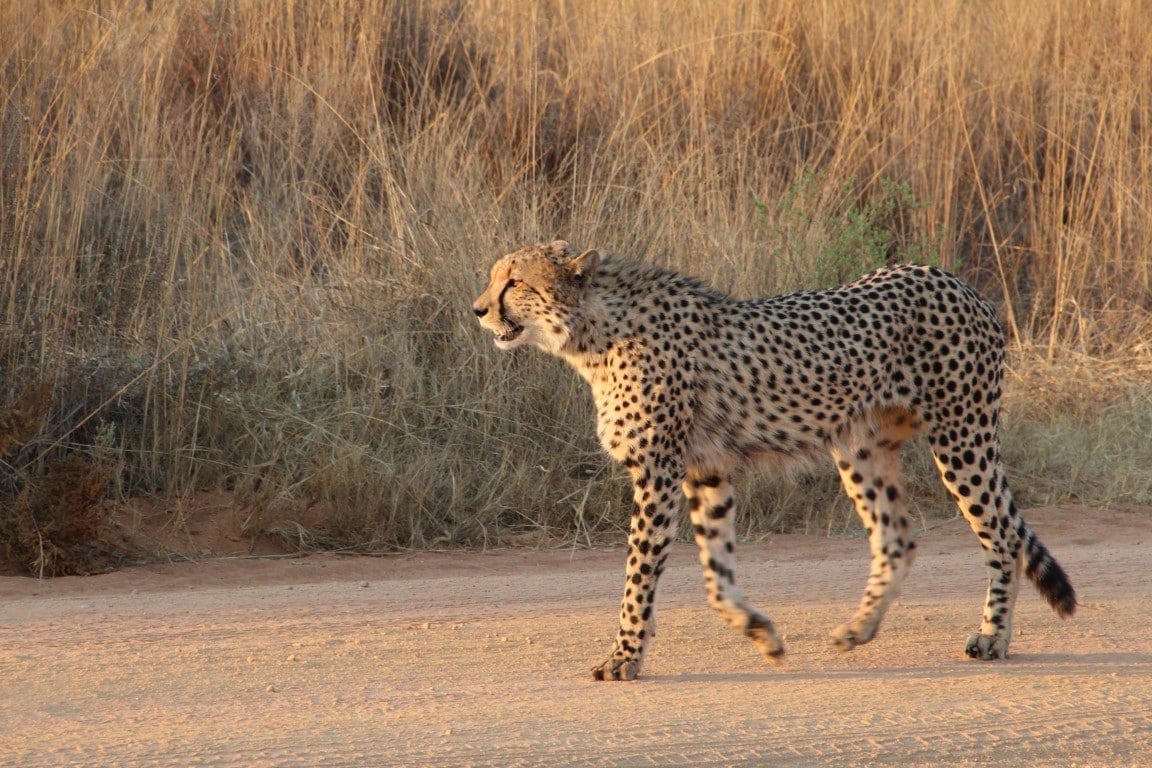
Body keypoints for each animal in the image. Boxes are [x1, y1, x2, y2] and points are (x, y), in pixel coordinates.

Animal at [472, 240, 1077, 681]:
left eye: (515, 282)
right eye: (496, 277)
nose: (478, 310)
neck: (593, 331)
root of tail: (958, 281)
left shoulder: (659, 473)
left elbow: (638, 575)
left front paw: (624, 657)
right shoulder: (707, 472)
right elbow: (716, 574)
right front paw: (761, 632)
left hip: (961, 437)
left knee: (1001, 535)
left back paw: (992, 636)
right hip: (861, 448)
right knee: (898, 538)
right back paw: (858, 630)